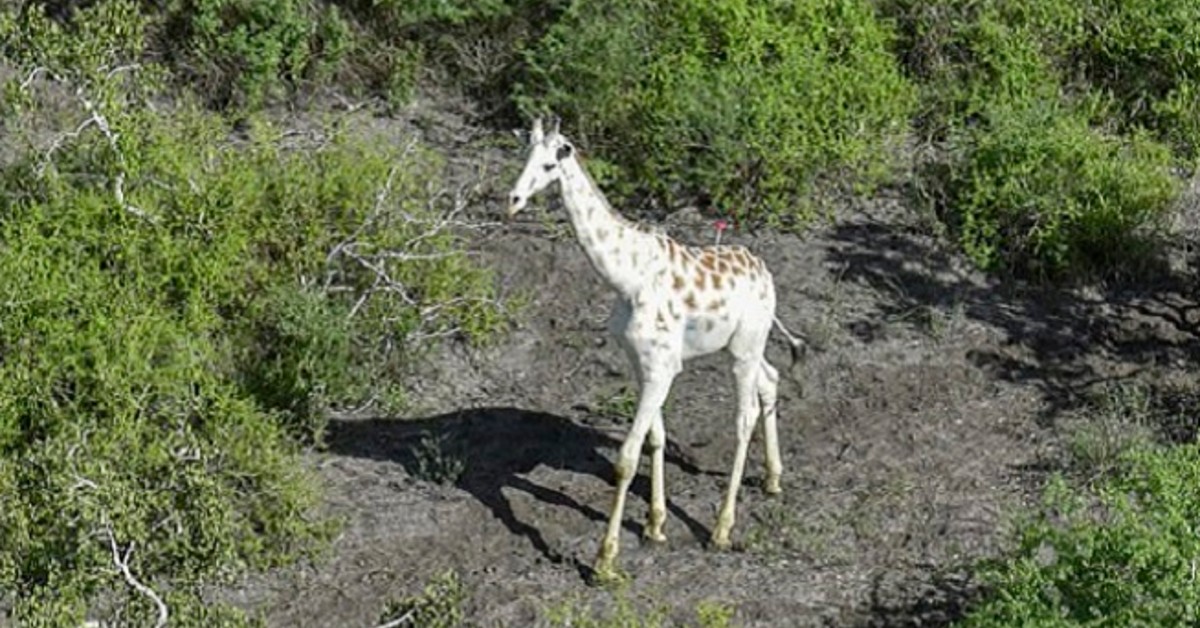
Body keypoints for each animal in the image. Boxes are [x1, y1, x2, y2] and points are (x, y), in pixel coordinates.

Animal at [506, 117, 806, 585]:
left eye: (551, 163)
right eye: (525, 155)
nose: (513, 201)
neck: (626, 278)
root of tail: (766, 274)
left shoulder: (661, 367)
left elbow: (627, 459)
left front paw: (604, 562)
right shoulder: (641, 364)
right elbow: (657, 439)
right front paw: (654, 526)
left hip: (744, 349)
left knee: (744, 417)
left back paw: (721, 529)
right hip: (741, 346)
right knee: (771, 380)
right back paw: (773, 479)